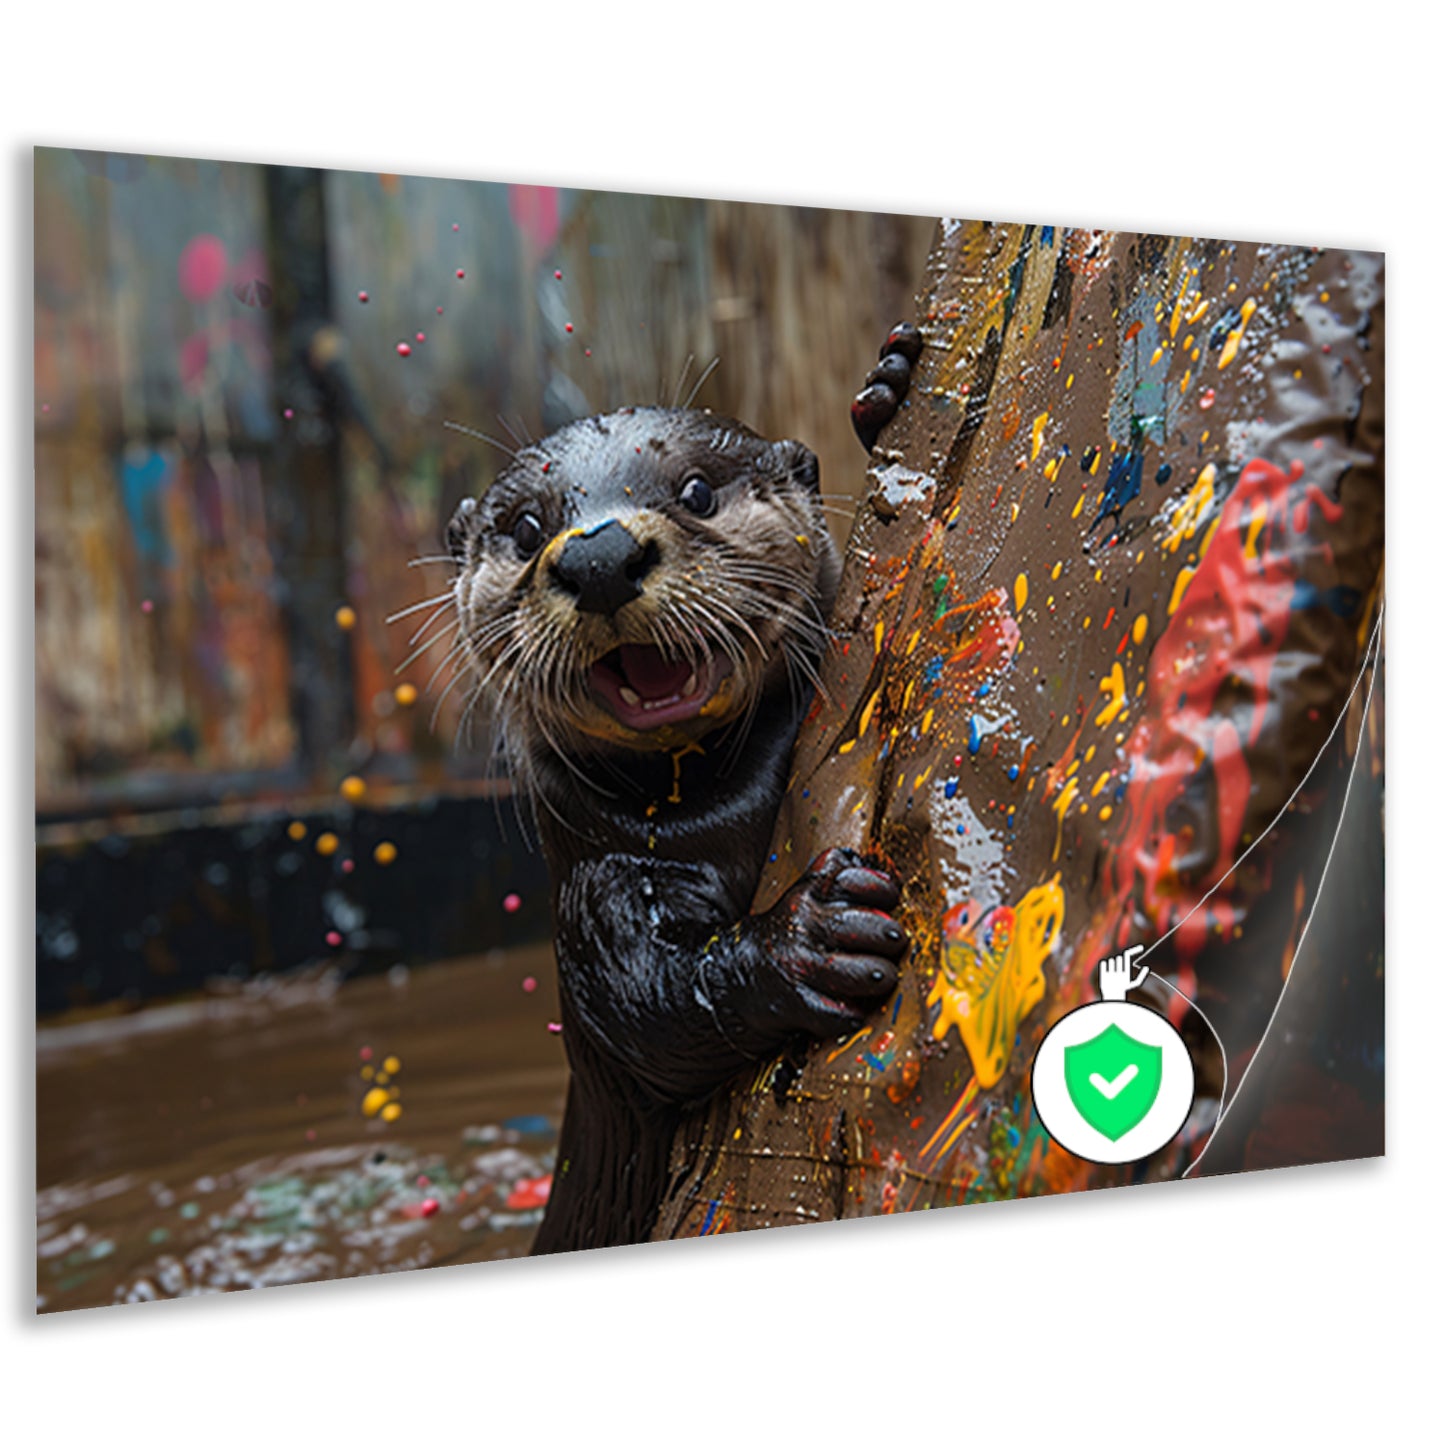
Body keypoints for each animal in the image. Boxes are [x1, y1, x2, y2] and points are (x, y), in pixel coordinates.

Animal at [446, 325, 922, 1253]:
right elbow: (653, 1005)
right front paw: (810, 935)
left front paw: (884, 388)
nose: (596, 554)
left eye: (695, 490)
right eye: (527, 528)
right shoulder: (596, 893)